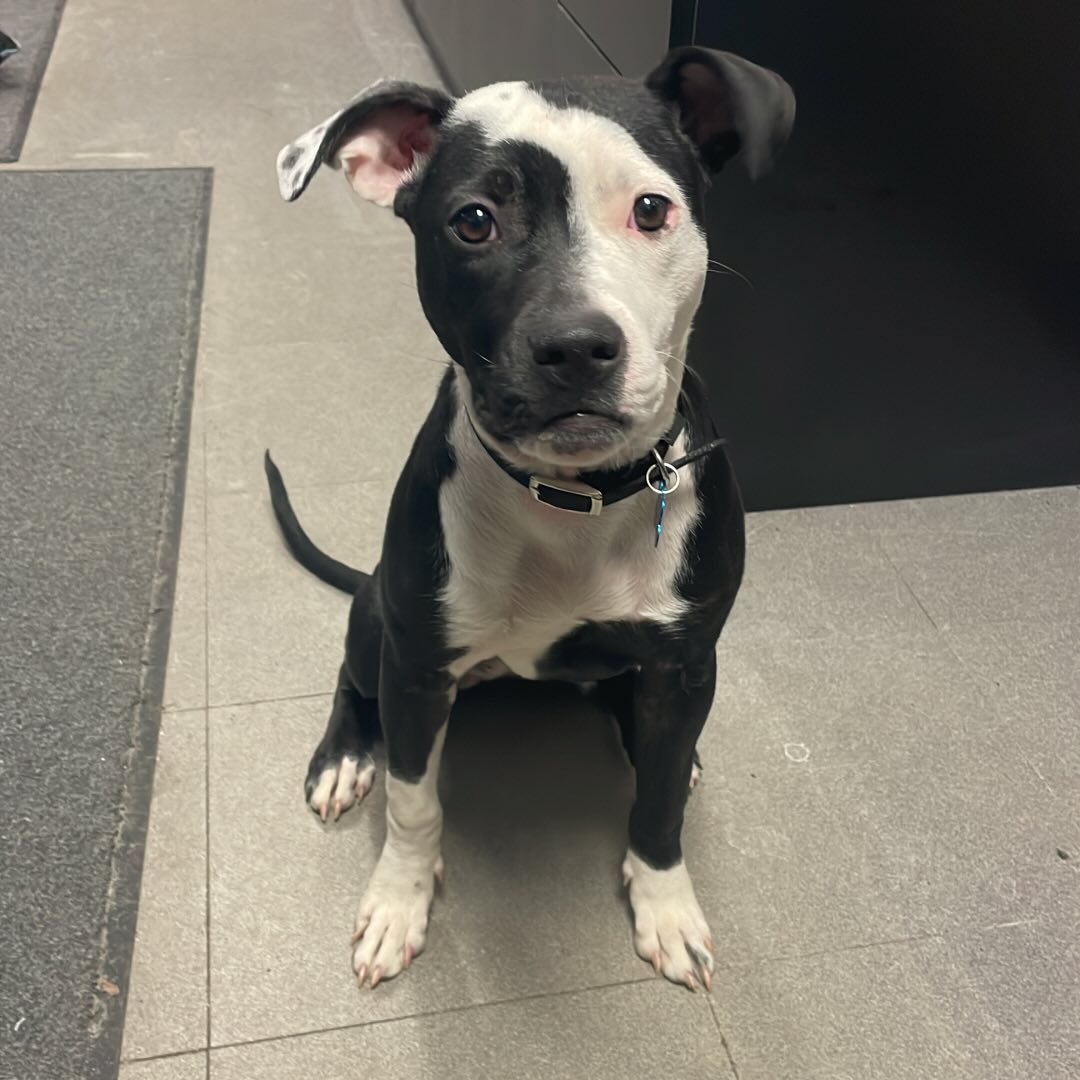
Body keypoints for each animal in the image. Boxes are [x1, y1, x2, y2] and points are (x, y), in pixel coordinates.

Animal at [268, 46, 794, 989]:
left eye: (651, 209)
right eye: (474, 221)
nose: (577, 346)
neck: (572, 500)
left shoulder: (687, 664)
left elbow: (659, 806)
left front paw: (666, 902)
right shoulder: (415, 668)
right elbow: (414, 804)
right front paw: (399, 900)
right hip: (376, 615)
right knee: (351, 679)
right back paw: (344, 758)